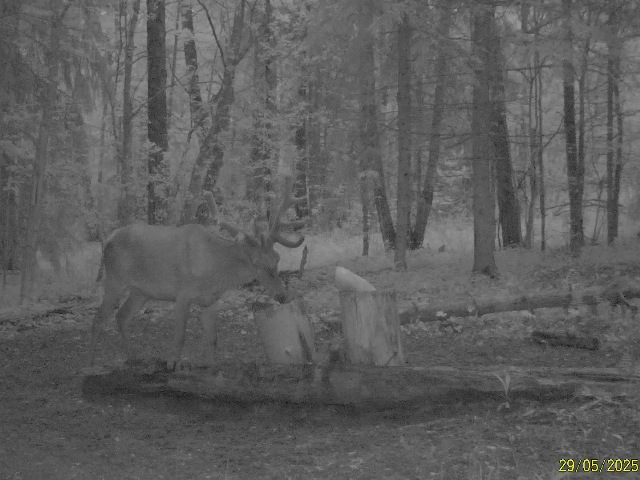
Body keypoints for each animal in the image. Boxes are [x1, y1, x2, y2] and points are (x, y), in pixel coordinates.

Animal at [89, 178, 306, 370]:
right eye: (257, 263)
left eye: (277, 259)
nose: (281, 295)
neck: (215, 273)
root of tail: (108, 239)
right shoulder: (183, 293)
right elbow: (180, 336)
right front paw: (172, 364)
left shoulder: (210, 301)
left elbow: (212, 339)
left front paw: (212, 366)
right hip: (115, 278)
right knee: (98, 319)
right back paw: (91, 363)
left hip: (140, 291)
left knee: (121, 316)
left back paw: (133, 358)